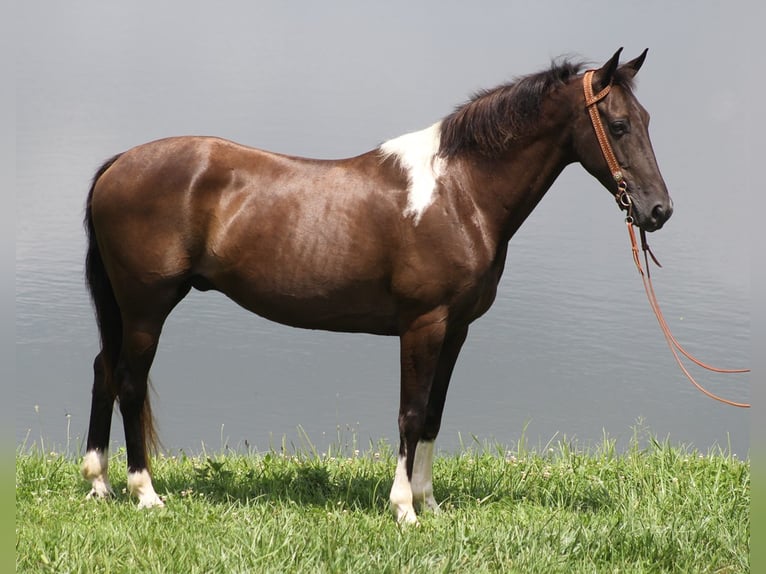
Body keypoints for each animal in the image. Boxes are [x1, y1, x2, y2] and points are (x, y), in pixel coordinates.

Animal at [81, 50, 676, 528]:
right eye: (618, 125)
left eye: (647, 120)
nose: (658, 211)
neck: (459, 193)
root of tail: (117, 164)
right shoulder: (423, 324)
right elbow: (409, 414)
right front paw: (404, 509)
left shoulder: (455, 330)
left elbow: (433, 414)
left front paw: (430, 503)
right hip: (146, 307)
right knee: (129, 382)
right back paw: (144, 493)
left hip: (125, 309)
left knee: (104, 370)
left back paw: (99, 482)